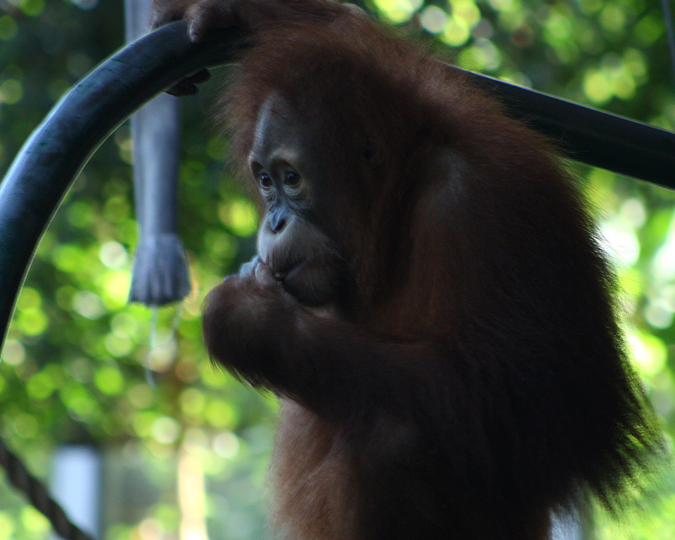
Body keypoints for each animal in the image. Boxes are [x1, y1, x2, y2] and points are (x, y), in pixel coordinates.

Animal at [150, 1, 665, 539]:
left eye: (292, 179)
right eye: (265, 181)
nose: (274, 221)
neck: (400, 202)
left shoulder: (481, 205)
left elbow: (533, 403)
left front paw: (246, 317)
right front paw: (216, 12)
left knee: (394, 441)